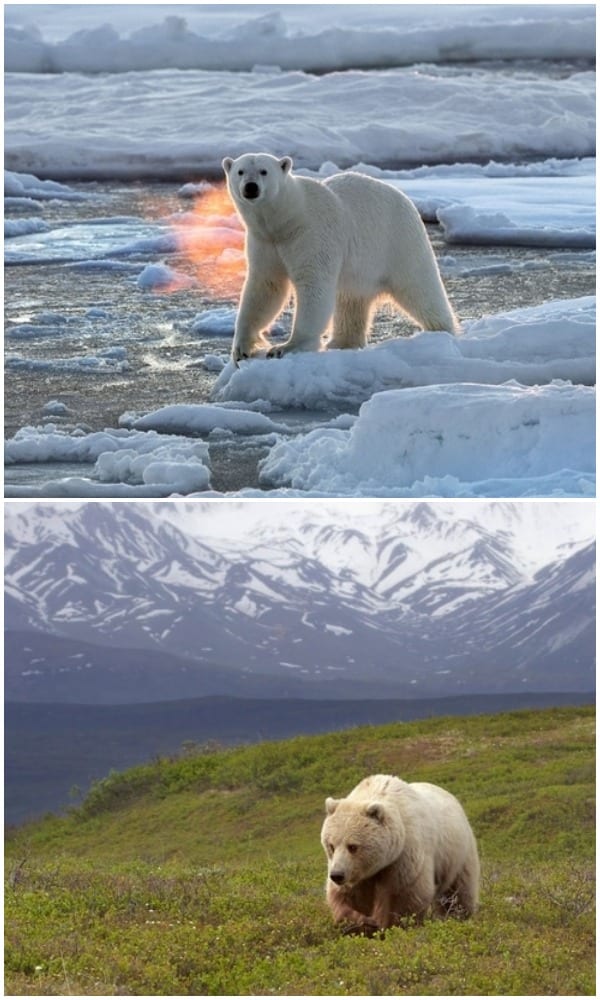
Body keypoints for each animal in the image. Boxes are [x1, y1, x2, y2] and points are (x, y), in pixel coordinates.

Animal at [222, 152, 459, 364]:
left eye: (264, 171)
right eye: (240, 171)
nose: (250, 187)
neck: (286, 221)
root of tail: (405, 199)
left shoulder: (312, 234)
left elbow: (313, 285)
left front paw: (285, 347)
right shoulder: (264, 242)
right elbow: (266, 287)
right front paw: (241, 349)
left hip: (399, 242)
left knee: (420, 287)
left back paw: (442, 331)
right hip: (361, 269)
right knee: (350, 301)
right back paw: (342, 342)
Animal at [321, 773, 480, 935]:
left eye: (352, 846)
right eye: (331, 846)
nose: (337, 875)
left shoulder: (405, 854)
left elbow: (405, 896)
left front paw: (389, 926)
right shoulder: (358, 873)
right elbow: (348, 897)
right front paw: (363, 923)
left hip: (457, 855)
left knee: (458, 892)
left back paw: (459, 916)